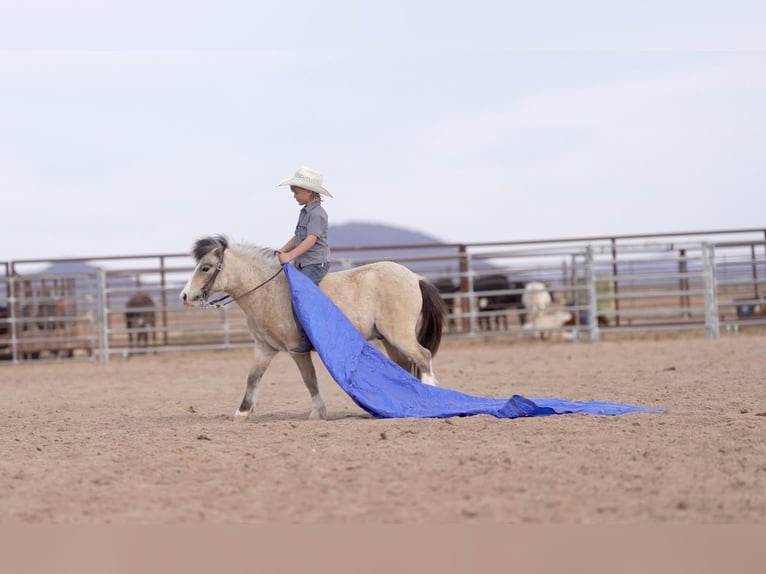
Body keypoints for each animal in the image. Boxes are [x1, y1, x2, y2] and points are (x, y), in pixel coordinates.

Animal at [180, 235, 445, 420]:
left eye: (206, 267)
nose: (184, 296)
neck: (269, 291)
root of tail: (414, 277)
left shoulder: (296, 350)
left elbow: (310, 380)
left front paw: (318, 413)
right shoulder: (264, 348)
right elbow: (253, 378)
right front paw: (242, 412)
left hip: (399, 335)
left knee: (423, 356)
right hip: (390, 341)